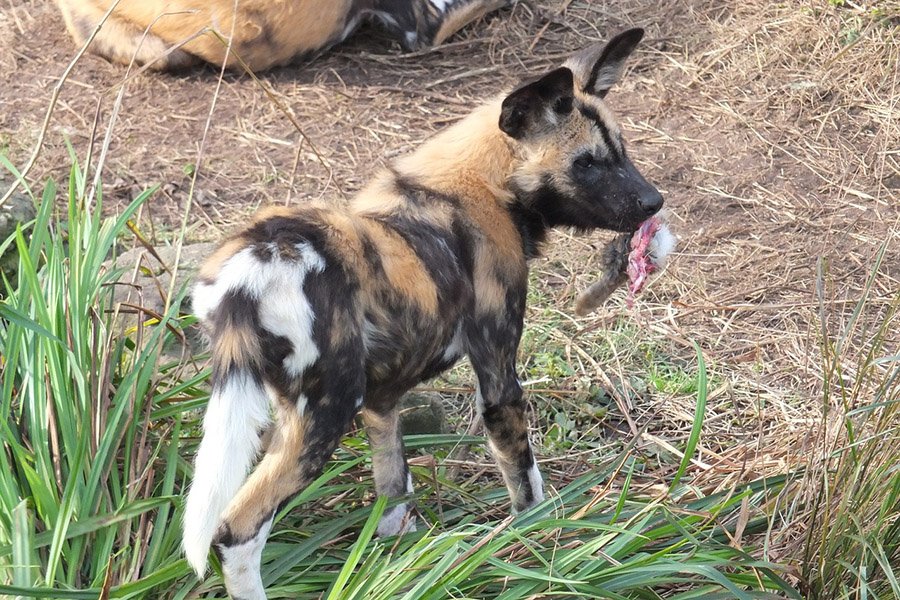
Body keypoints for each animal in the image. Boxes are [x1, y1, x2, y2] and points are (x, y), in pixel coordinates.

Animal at [183, 29, 660, 600]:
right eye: (585, 163)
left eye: (621, 151)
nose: (654, 201)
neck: (486, 186)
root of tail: (256, 261)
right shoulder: (497, 377)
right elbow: (526, 483)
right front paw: (544, 547)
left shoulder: (382, 402)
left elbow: (393, 496)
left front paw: (395, 566)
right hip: (325, 416)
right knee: (236, 531)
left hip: (279, 412)